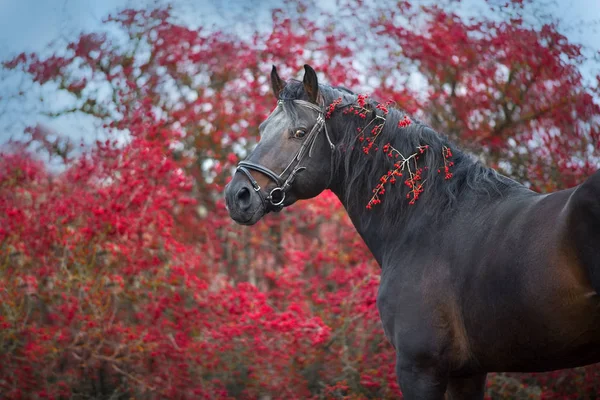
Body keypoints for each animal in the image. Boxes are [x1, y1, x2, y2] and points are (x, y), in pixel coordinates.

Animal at [224, 64, 600, 398]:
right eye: (262, 128)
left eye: (300, 132)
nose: (237, 195)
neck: (428, 221)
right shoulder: (468, 373)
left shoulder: (419, 367)